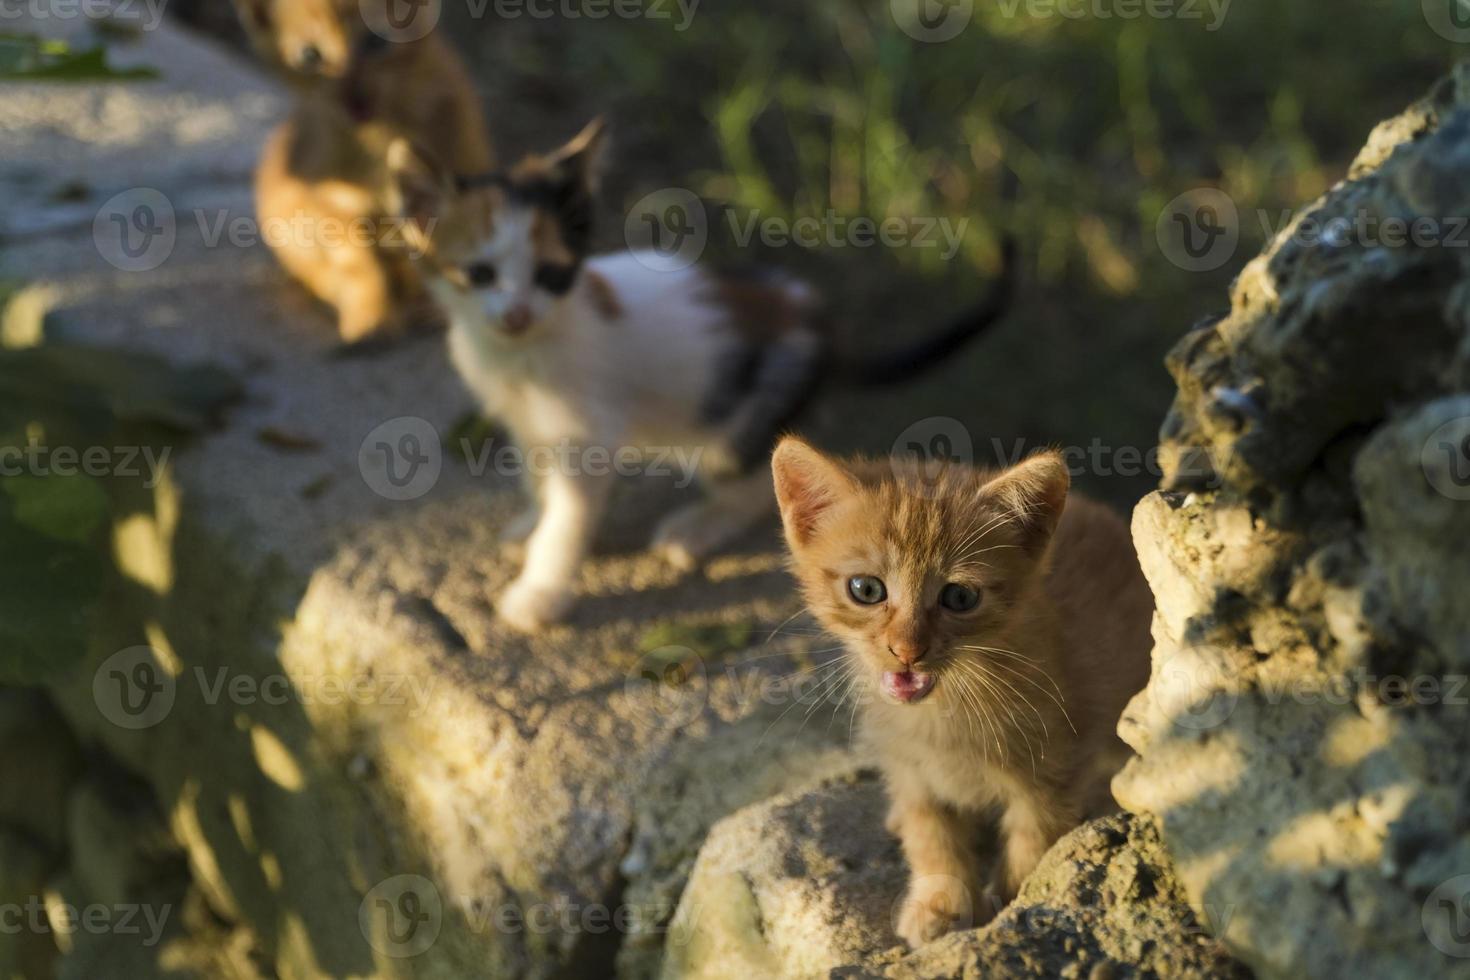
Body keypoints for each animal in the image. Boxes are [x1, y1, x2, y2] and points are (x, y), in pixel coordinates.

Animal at [230, 0, 493, 345]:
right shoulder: (333, 203)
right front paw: (371, 320)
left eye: (375, 42)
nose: (353, 98)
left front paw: (439, 310)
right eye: (310, 56)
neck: (382, 139)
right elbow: (359, 267)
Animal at [385, 120, 1017, 637]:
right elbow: (540, 482)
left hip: (732, 427)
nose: (516, 314)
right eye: (480, 274)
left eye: (549, 273)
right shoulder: (527, 420)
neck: (523, 354)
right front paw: (529, 523)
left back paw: (696, 528)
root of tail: (821, 326)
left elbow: (569, 516)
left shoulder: (587, 436)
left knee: (757, 485)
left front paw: (539, 593)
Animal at [770, 440, 1158, 946]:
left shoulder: (1055, 775)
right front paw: (940, 903)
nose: (907, 650)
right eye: (866, 589)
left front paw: (1010, 905)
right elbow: (932, 837)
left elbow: (1032, 845)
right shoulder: (910, 768)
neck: (945, 717)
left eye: (959, 597)